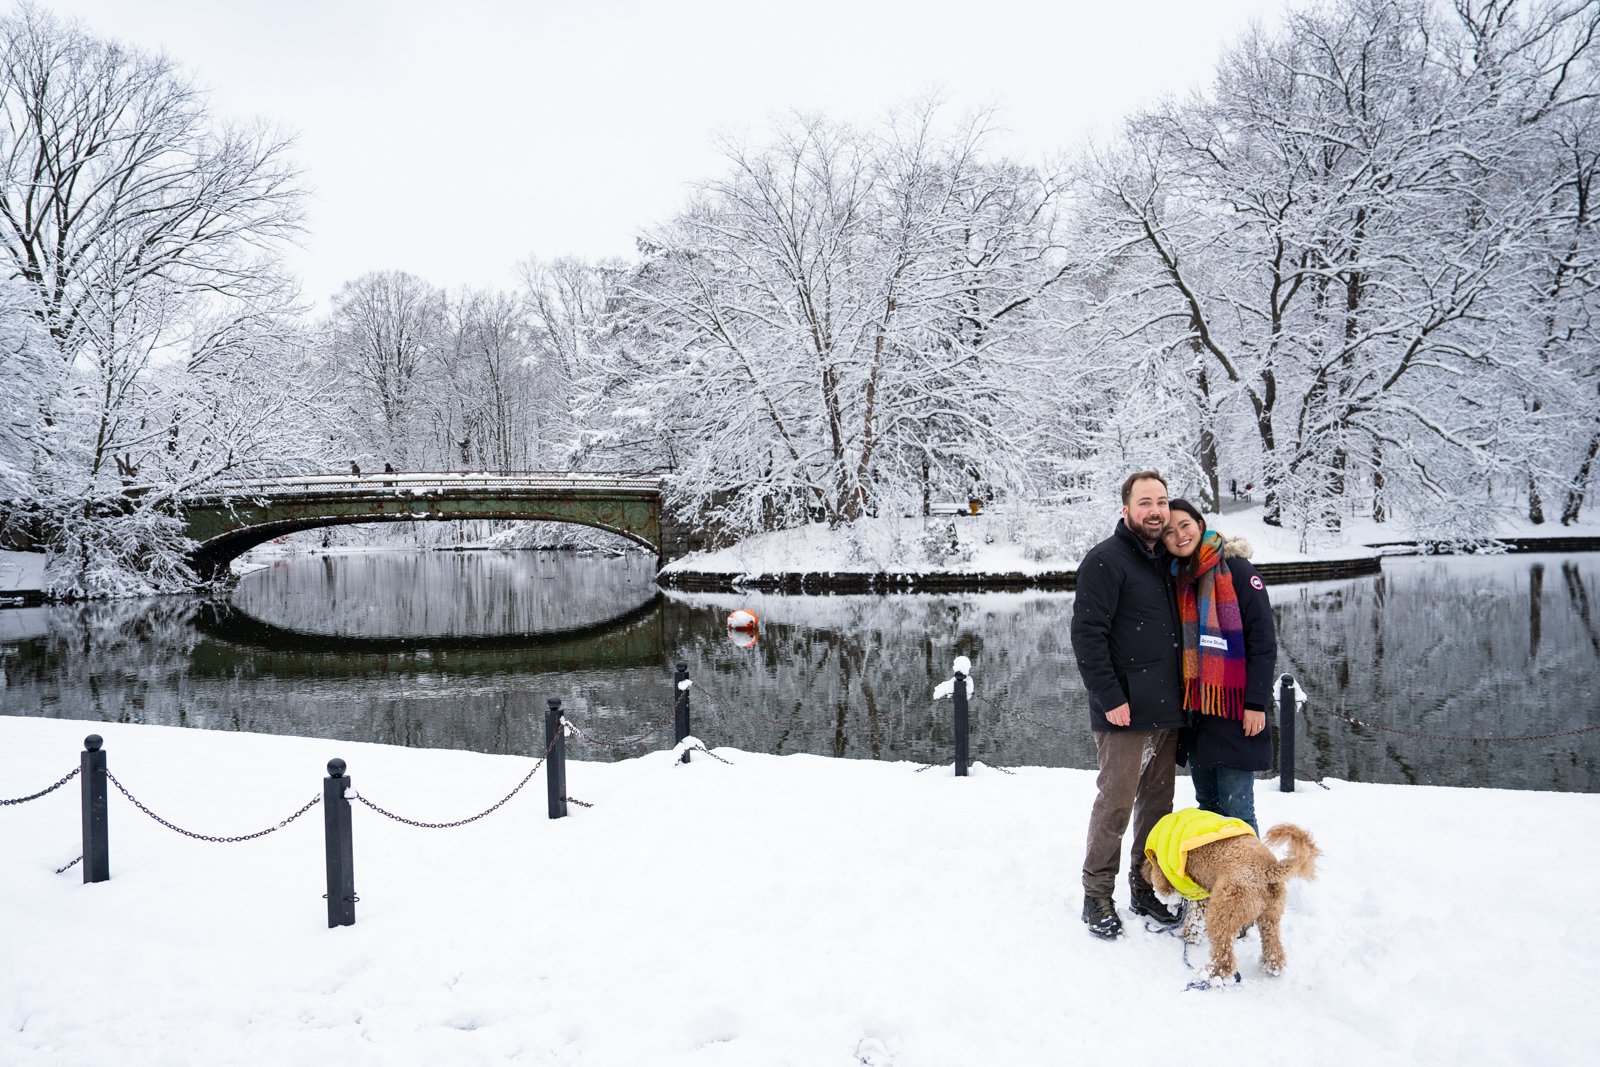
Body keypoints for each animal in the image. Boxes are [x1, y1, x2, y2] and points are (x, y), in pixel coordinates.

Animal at [1145, 825, 1318, 985]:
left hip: (1222, 914)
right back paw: (1271, 966)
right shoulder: (1203, 894)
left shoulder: (1183, 880)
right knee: (1274, 948)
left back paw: (1209, 975)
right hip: (1270, 917)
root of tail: (1268, 870)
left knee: (1224, 958)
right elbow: (1195, 920)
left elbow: (1171, 896)